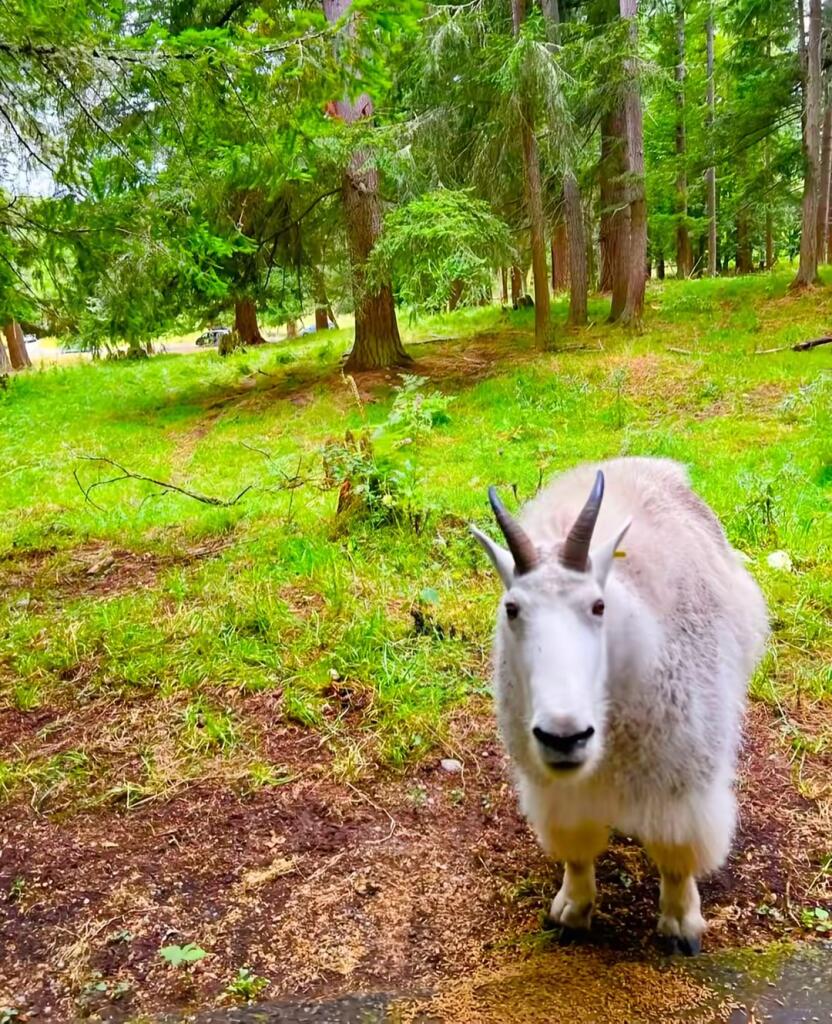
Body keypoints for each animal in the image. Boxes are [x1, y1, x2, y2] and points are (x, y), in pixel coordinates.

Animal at [471, 457, 768, 954]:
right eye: (512, 608)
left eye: (598, 605)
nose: (564, 736)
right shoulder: (558, 790)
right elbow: (576, 849)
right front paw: (572, 911)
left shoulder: (682, 781)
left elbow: (677, 853)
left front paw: (681, 925)